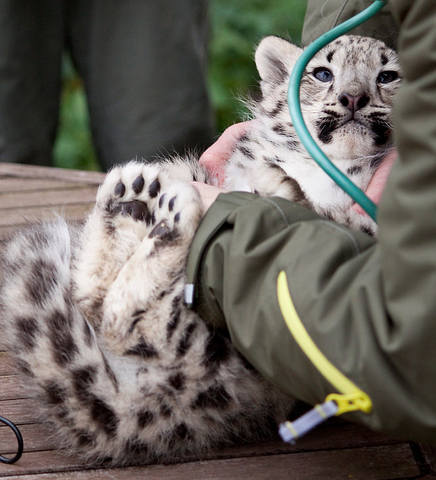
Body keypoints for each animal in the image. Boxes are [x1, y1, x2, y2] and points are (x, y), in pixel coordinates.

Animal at [0, 35, 400, 465]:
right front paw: (274, 176)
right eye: (322, 72)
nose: (353, 97)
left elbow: (320, 216)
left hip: (231, 346)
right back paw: (130, 195)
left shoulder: (364, 228)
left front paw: (280, 185)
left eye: (388, 75)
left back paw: (166, 215)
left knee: (124, 319)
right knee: (97, 302)